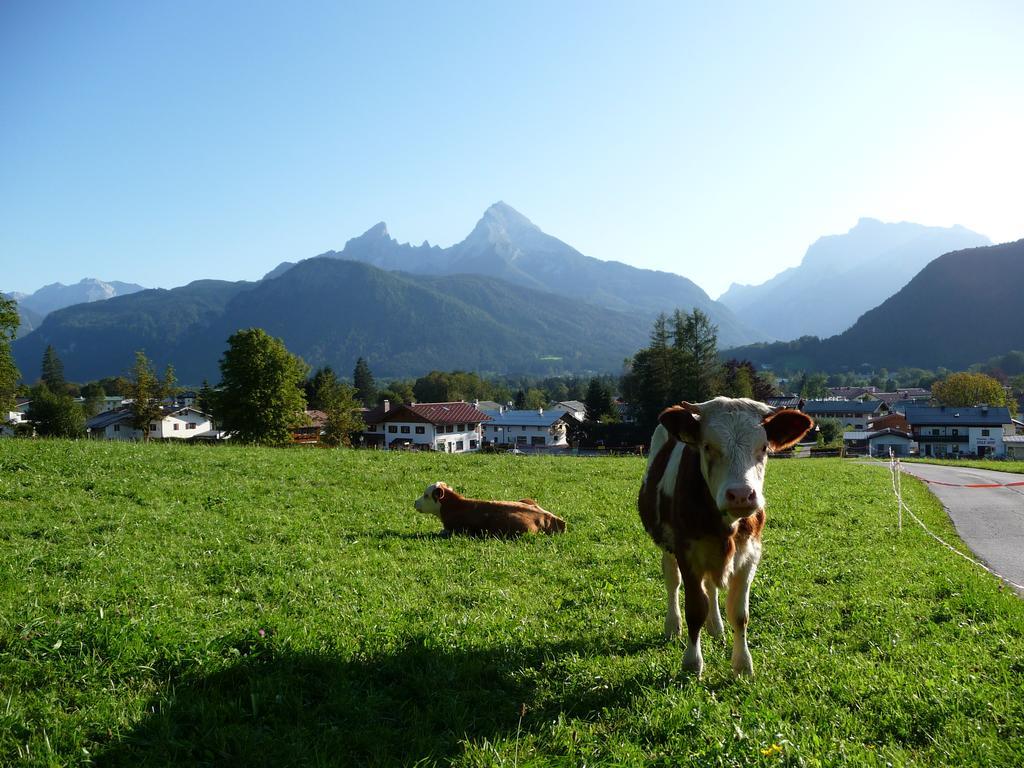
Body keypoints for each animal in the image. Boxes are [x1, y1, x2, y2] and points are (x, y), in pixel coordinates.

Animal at [634, 399, 811, 675]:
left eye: (763, 448)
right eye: (707, 446)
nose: (740, 495)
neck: (727, 526)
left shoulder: (750, 555)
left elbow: (739, 614)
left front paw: (742, 664)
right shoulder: (687, 553)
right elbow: (695, 608)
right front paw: (692, 662)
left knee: (711, 587)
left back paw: (715, 628)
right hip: (667, 546)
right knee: (673, 582)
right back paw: (673, 626)